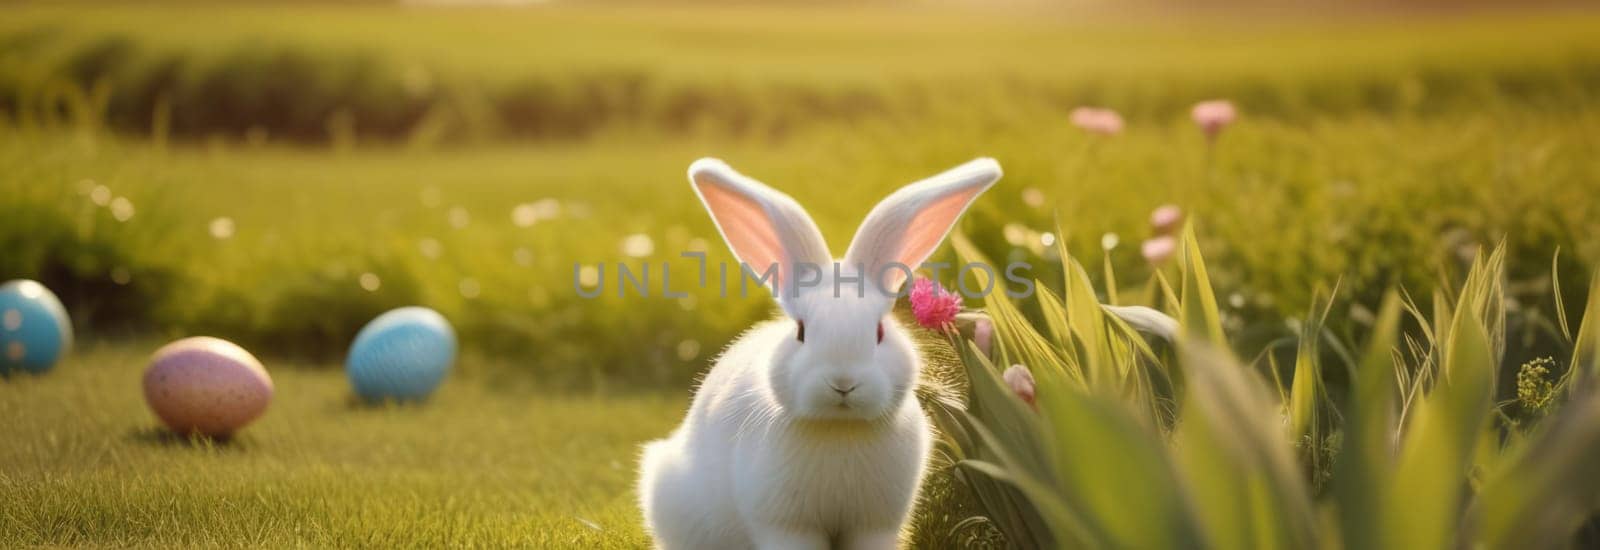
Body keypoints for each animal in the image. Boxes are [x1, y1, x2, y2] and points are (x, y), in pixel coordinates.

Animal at [636, 156, 998, 546]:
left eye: (879, 331)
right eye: (801, 332)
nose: (843, 383)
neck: (839, 428)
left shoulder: (875, 525)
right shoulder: (786, 525)